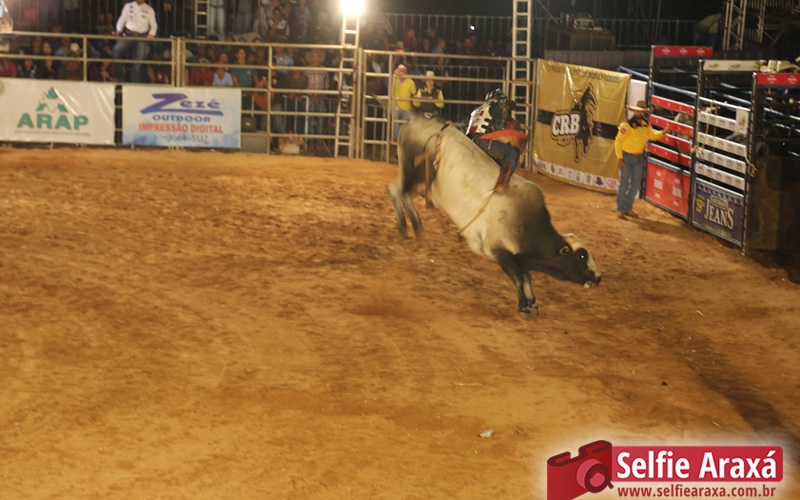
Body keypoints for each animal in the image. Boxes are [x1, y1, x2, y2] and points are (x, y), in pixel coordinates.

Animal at [387, 115, 602, 319]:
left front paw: (532, 303)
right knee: (396, 191)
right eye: (582, 256)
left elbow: (526, 277)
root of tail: (414, 122)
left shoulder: (519, 257)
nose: (599, 277)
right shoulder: (496, 251)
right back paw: (405, 228)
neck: (526, 225)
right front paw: (524, 307)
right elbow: (519, 277)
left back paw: (416, 226)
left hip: (419, 179)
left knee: (404, 194)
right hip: (413, 173)